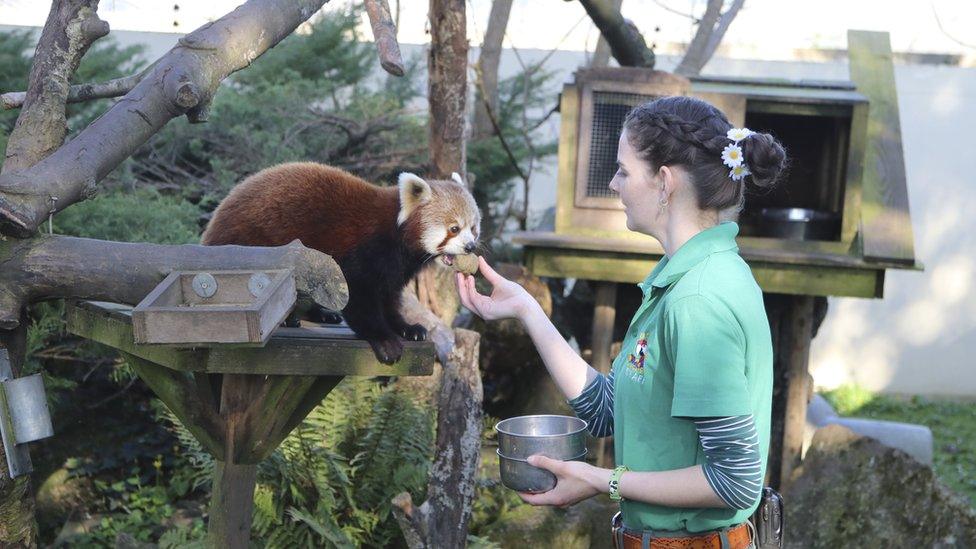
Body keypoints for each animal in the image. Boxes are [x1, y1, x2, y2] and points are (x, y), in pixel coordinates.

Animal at [201, 159, 480, 364]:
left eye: (474, 228)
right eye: (454, 228)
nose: (470, 246)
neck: (396, 233)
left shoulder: (395, 269)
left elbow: (390, 297)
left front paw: (406, 327)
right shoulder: (362, 252)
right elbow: (360, 298)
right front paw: (384, 339)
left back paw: (318, 314)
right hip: (255, 245)